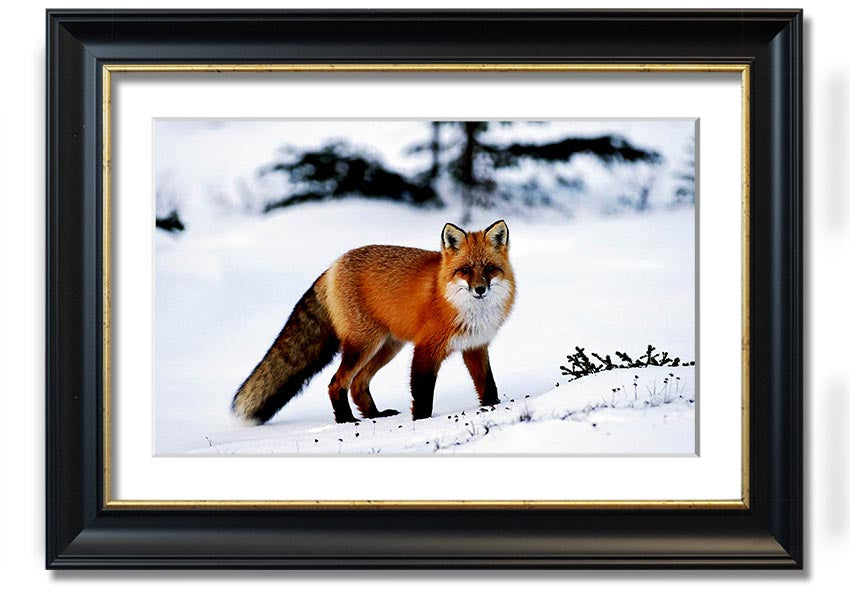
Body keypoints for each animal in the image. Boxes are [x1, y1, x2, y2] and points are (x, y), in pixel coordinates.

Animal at [232, 219, 515, 424]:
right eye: (465, 270)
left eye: (489, 269)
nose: (480, 289)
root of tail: (333, 266)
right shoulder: (426, 348)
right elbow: (422, 393)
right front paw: (422, 422)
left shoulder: (475, 346)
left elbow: (488, 385)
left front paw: (493, 408)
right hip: (364, 344)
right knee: (337, 383)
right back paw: (346, 420)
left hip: (387, 347)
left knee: (358, 384)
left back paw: (374, 415)